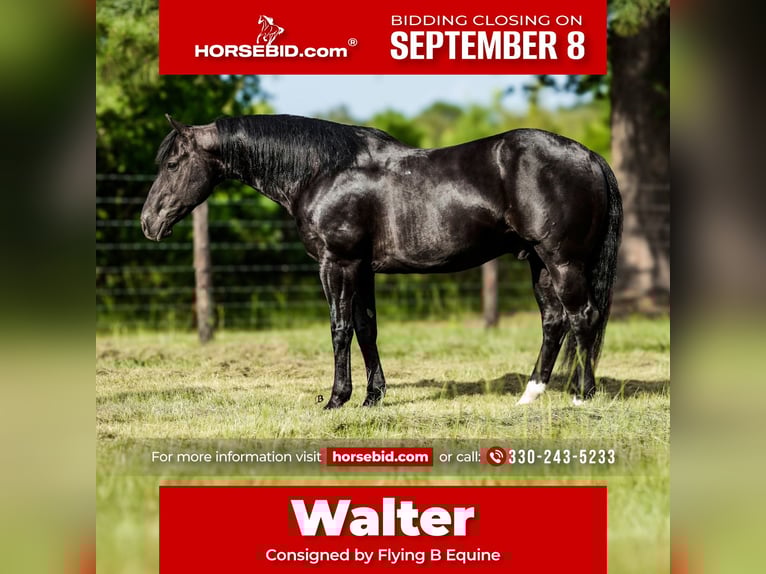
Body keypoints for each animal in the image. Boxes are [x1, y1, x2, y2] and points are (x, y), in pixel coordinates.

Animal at [141, 114, 622, 409]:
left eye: (173, 162)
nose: (148, 222)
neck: (324, 170)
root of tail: (589, 156)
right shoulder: (361, 268)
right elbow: (365, 328)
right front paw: (373, 396)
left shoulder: (336, 264)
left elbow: (339, 329)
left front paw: (337, 398)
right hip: (539, 263)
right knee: (554, 322)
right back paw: (530, 394)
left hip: (563, 261)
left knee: (582, 317)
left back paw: (582, 395)